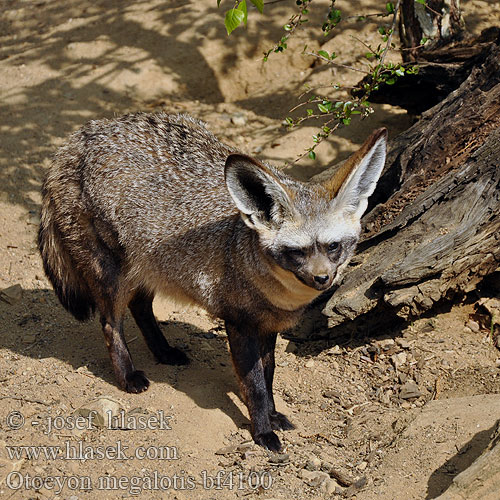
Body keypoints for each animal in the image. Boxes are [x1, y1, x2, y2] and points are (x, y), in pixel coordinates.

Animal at [38, 111, 386, 452]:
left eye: (333, 246)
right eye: (296, 252)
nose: (322, 278)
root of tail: (79, 136)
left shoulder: (268, 326)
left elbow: (269, 375)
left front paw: (273, 416)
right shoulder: (239, 325)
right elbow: (255, 386)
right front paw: (263, 432)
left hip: (149, 267)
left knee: (140, 306)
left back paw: (163, 352)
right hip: (113, 275)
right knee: (110, 323)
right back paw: (127, 375)